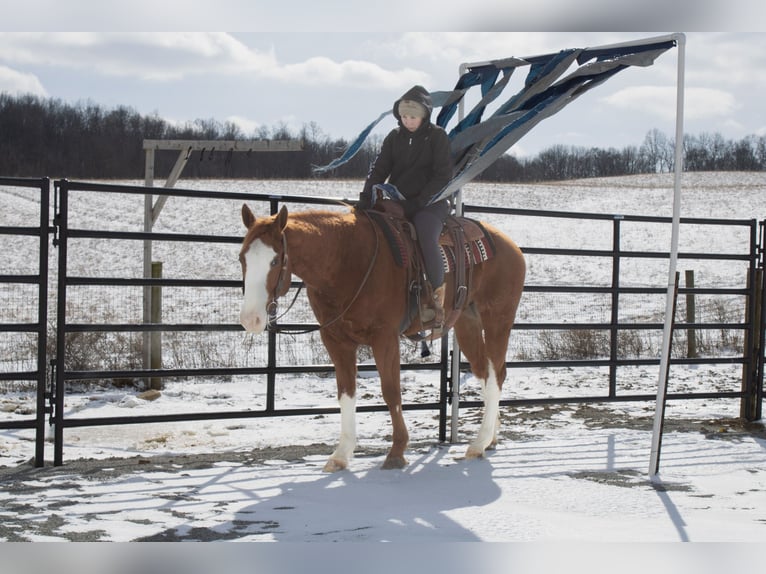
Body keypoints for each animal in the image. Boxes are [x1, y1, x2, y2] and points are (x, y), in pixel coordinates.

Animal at [240, 205, 528, 474]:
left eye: (274, 261)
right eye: (242, 257)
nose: (250, 319)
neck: (346, 260)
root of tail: (510, 246)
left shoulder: (385, 338)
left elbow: (391, 392)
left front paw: (397, 452)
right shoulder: (335, 340)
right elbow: (346, 392)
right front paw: (341, 454)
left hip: (497, 319)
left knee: (496, 375)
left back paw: (478, 444)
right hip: (466, 323)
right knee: (485, 372)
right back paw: (490, 438)